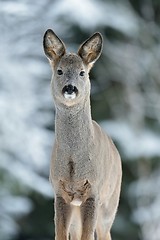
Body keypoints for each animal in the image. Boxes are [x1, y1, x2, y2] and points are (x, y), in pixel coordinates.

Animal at [43, 30, 122, 240]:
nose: (70, 88)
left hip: (110, 203)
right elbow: (60, 235)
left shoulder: (93, 190)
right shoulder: (59, 191)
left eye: (82, 72)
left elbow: (88, 236)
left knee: (105, 234)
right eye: (59, 71)